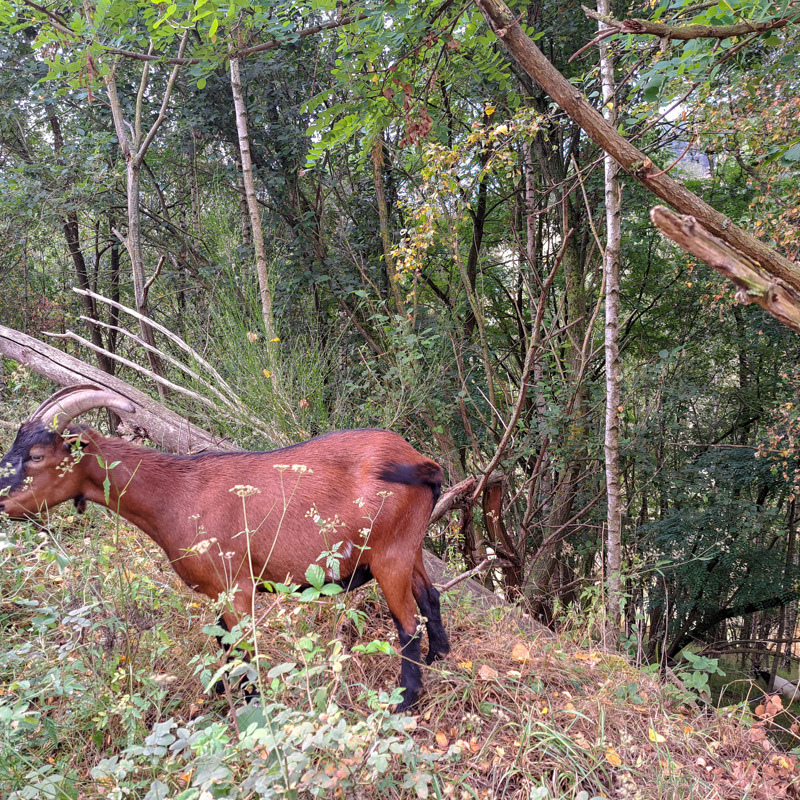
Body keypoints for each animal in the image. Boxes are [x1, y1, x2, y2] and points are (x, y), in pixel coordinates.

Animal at [0, 384, 450, 708]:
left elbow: (246, 650)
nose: (1, 499)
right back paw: (440, 660)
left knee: (407, 623)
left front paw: (253, 706)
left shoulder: (238, 587)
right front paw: (222, 694)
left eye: (36, 455)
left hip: (389, 554)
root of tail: (421, 462)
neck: (176, 494)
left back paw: (406, 701)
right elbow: (225, 646)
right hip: (409, 546)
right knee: (430, 596)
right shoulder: (215, 591)